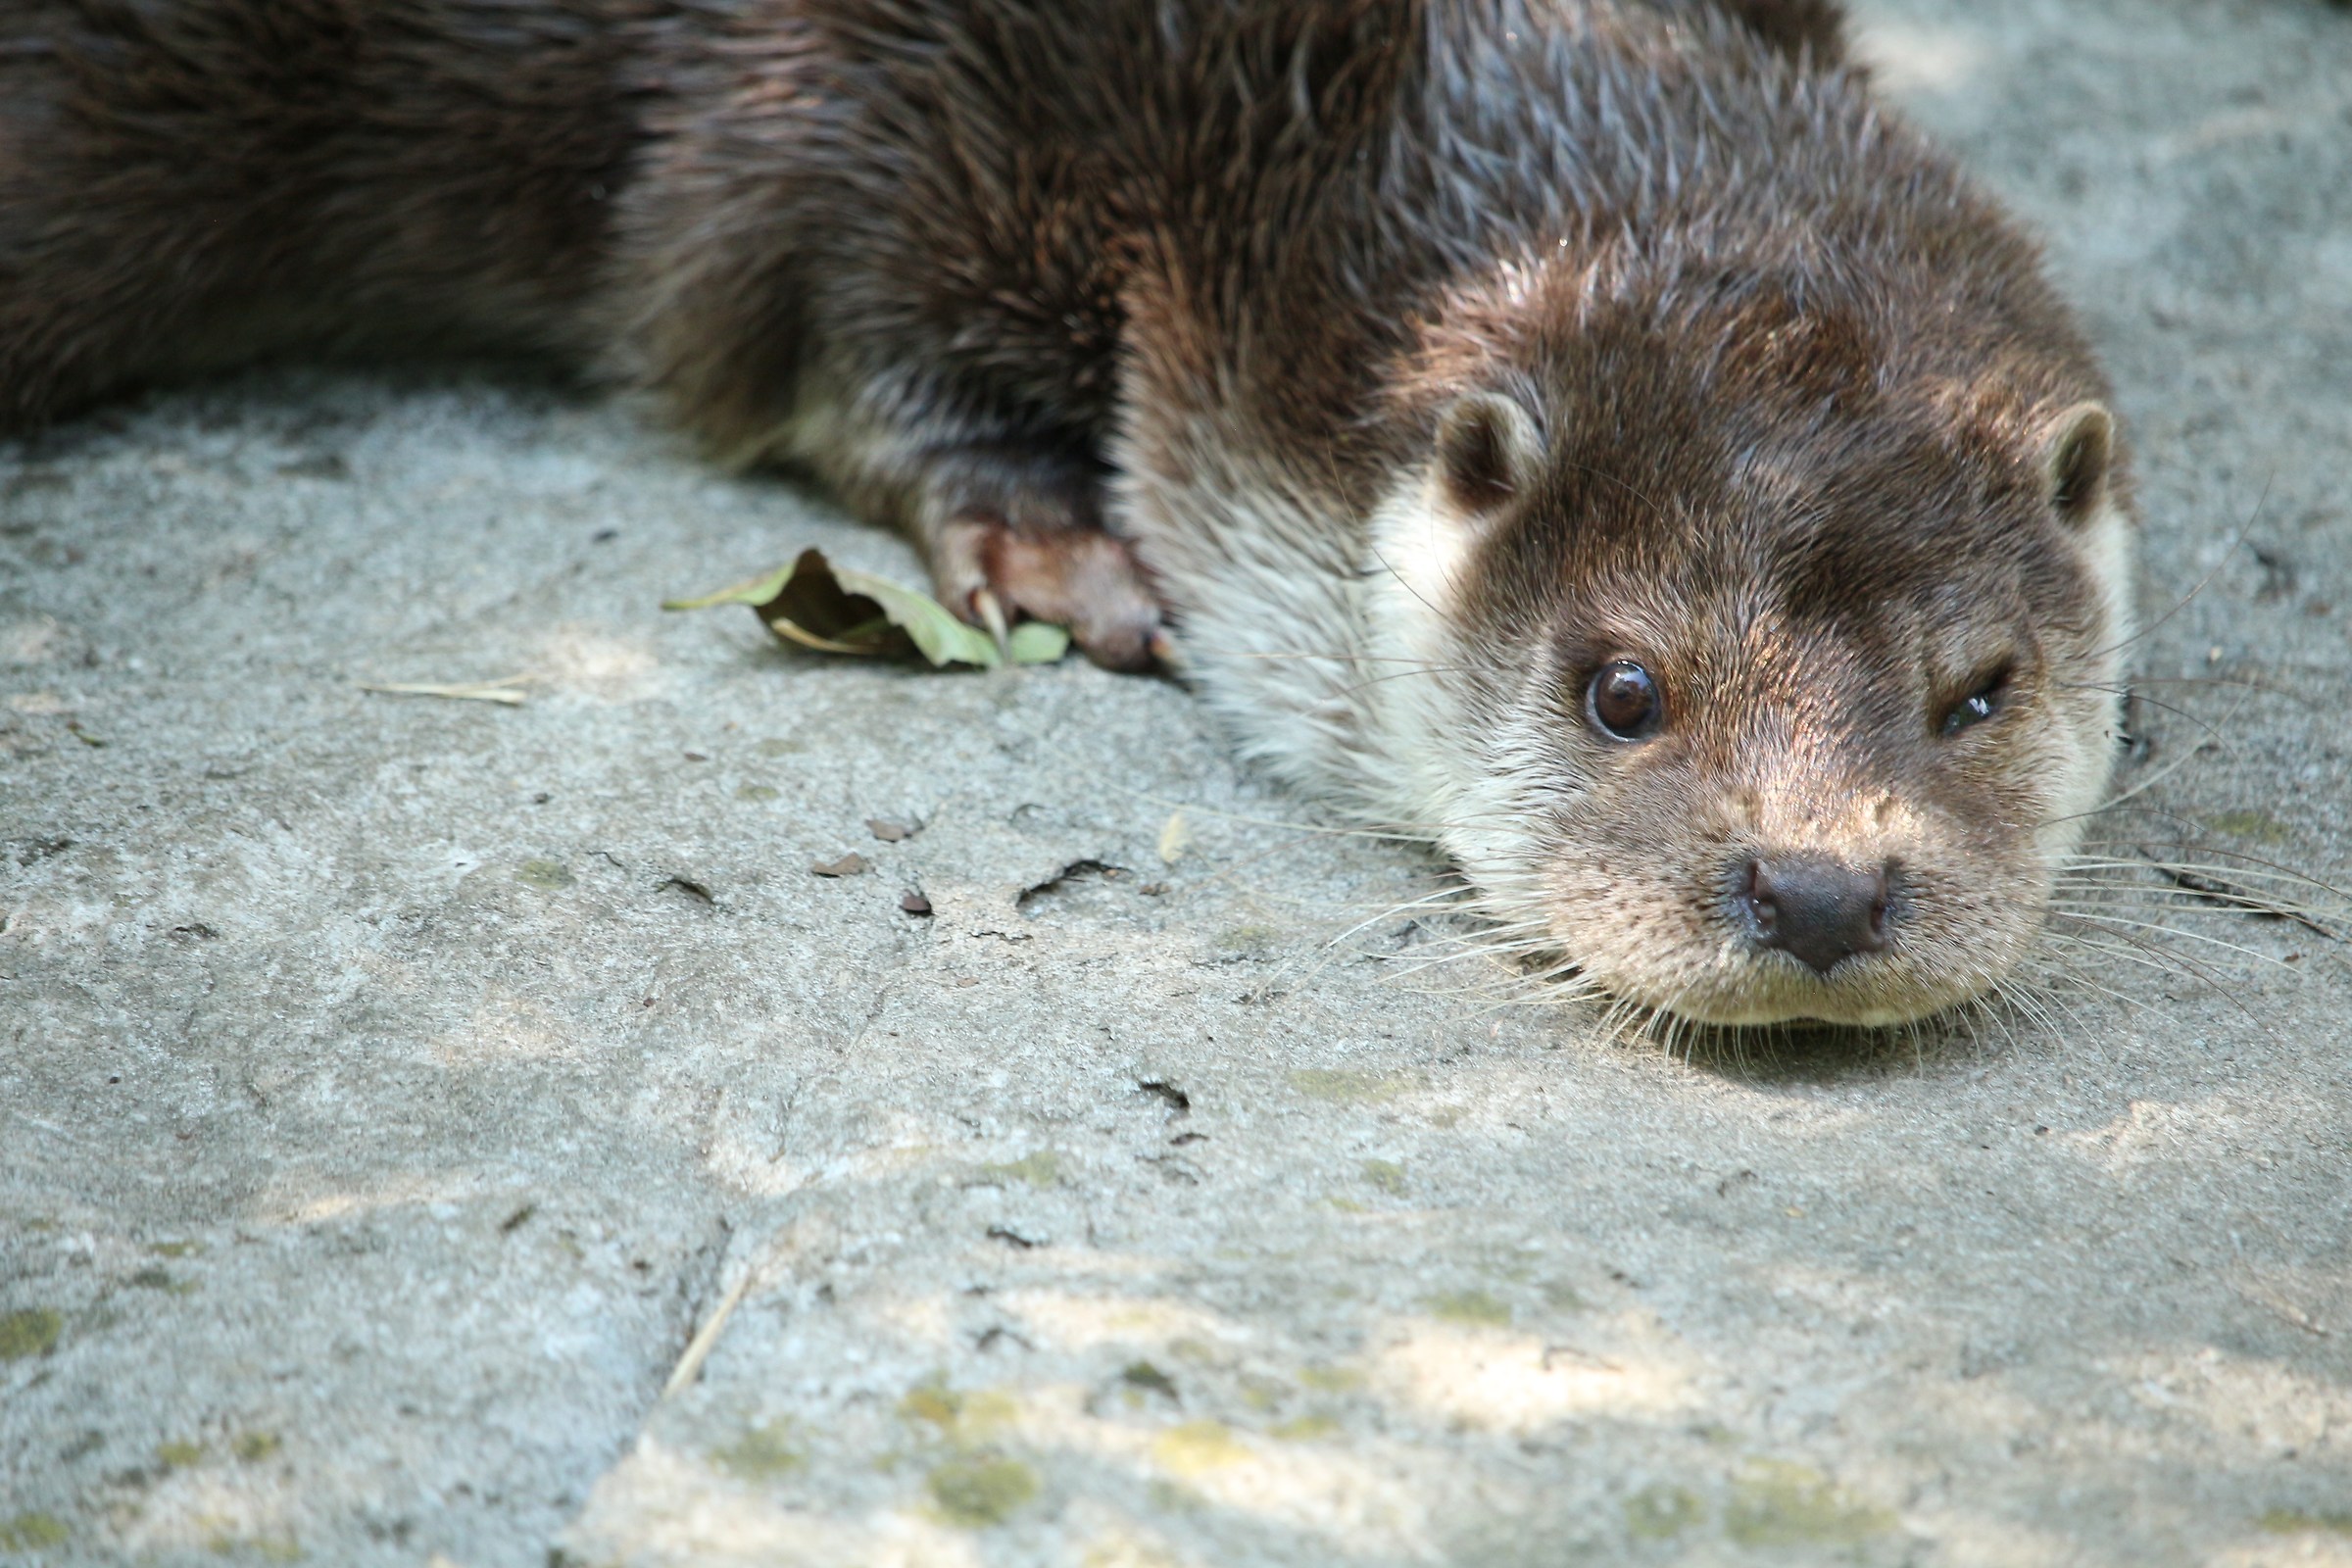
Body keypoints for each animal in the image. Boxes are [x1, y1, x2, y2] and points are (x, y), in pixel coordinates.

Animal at [0, 0, 2133, 1027]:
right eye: (1623, 689)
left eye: (1980, 691)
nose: (1820, 890)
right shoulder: (865, 105)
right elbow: (807, 321)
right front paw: (1056, 548)